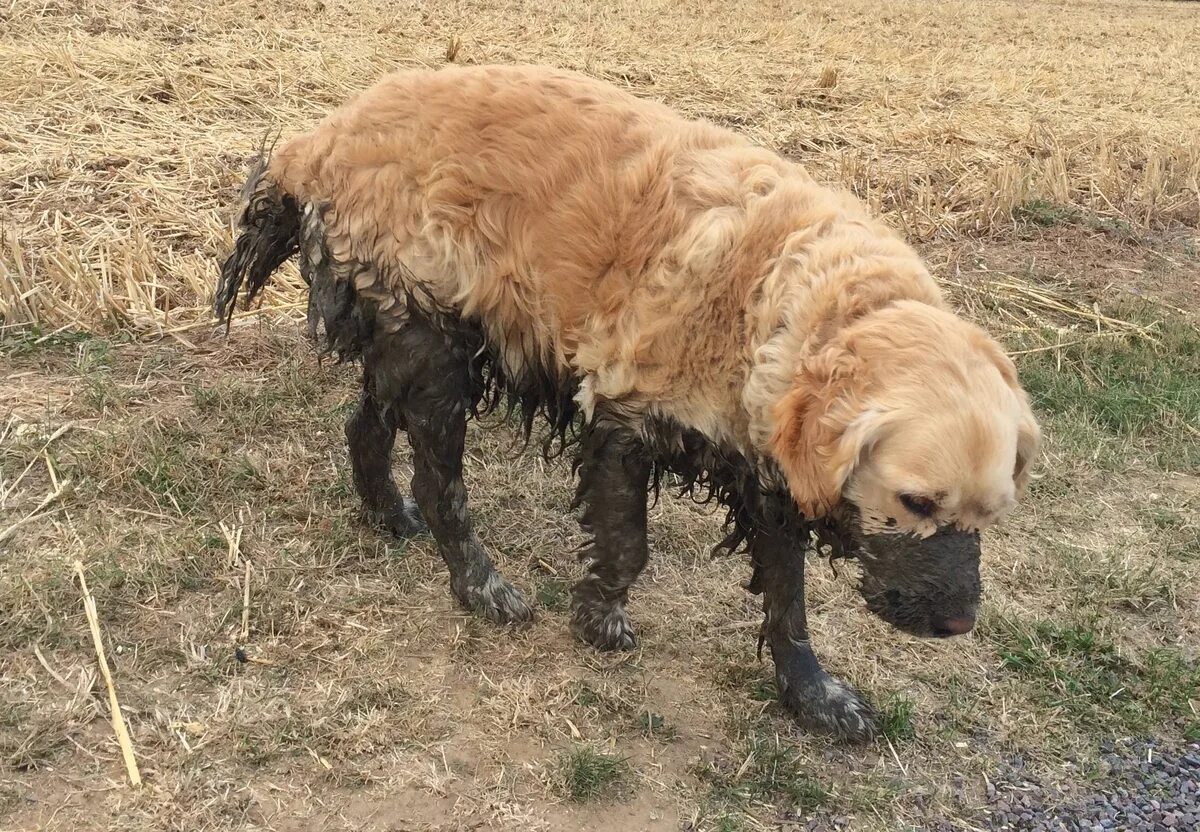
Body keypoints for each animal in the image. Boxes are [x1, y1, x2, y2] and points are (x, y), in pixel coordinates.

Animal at [216, 63, 1041, 739]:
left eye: (993, 512)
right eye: (916, 502)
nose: (959, 622)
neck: (783, 294)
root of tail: (322, 137)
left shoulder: (764, 470)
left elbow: (789, 600)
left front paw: (813, 695)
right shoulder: (626, 416)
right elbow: (627, 545)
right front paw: (598, 620)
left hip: (410, 342)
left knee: (363, 425)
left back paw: (388, 514)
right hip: (436, 348)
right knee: (440, 482)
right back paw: (482, 586)